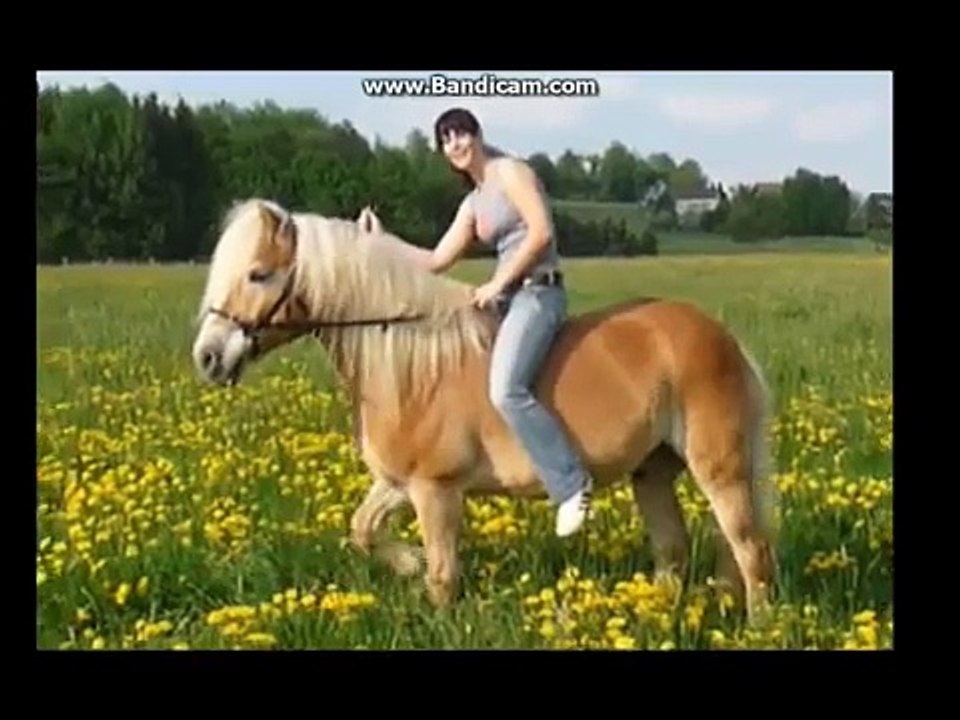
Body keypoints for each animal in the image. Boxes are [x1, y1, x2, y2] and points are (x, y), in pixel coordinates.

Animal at [191, 198, 779, 623]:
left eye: (258, 274)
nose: (209, 357)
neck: (413, 365)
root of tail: (724, 338)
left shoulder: (436, 491)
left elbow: (442, 576)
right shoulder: (398, 484)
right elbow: (363, 530)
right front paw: (405, 562)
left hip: (719, 469)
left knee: (750, 551)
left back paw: (758, 628)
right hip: (652, 472)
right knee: (674, 551)